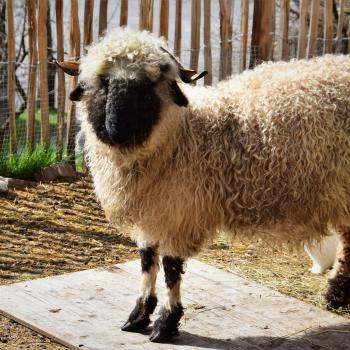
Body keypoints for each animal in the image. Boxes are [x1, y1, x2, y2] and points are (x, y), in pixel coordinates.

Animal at [56, 29, 350, 342]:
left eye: (148, 87)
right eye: (103, 83)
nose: (116, 131)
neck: (182, 135)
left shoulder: (178, 215)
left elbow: (171, 268)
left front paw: (166, 323)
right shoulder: (152, 211)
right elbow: (147, 261)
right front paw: (139, 315)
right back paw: (338, 295)